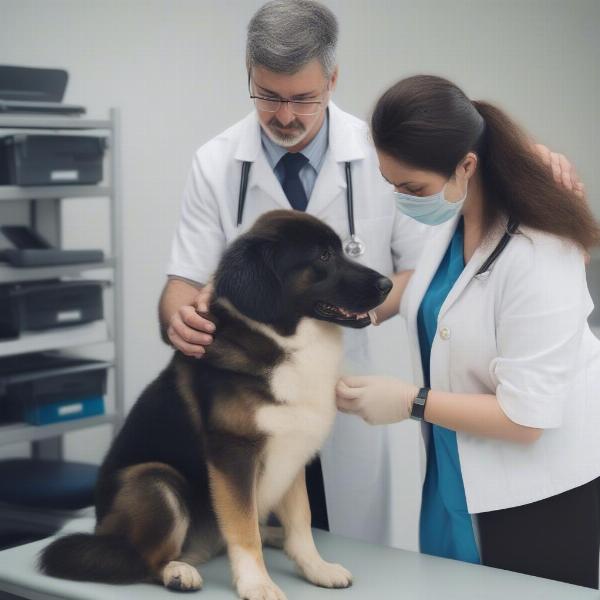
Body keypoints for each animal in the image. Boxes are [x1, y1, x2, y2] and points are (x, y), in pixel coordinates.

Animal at [38, 211, 394, 600]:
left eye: (342, 249)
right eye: (324, 256)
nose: (388, 284)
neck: (282, 341)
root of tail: (104, 533)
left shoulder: (292, 451)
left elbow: (301, 520)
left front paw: (316, 567)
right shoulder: (233, 452)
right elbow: (242, 527)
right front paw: (256, 582)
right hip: (153, 481)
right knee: (143, 559)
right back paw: (177, 571)